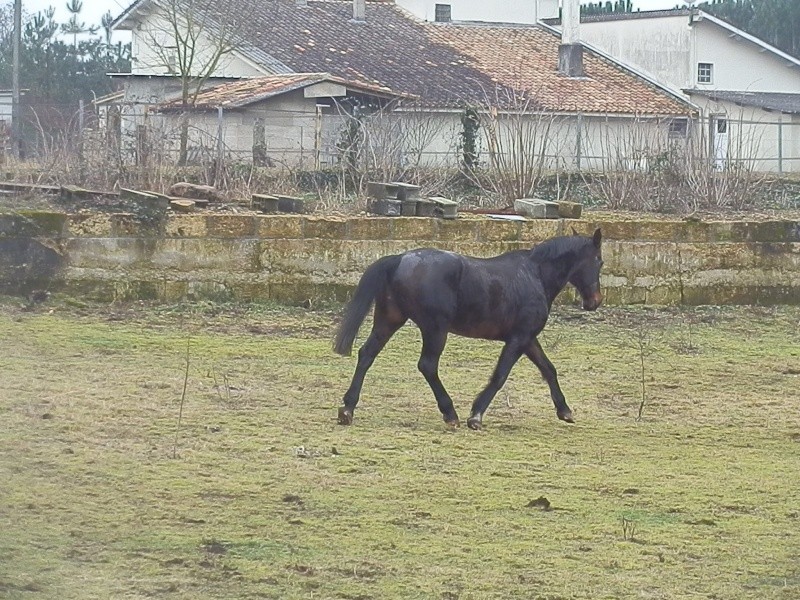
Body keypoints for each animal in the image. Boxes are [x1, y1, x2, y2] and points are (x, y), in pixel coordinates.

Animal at [332, 227, 600, 428]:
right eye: (599, 261)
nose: (595, 301)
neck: (535, 276)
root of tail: (399, 260)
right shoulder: (518, 338)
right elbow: (500, 375)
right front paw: (476, 415)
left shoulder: (528, 339)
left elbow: (548, 369)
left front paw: (565, 410)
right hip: (435, 329)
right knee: (427, 366)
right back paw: (450, 413)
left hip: (389, 320)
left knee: (367, 354)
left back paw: (347, 408)